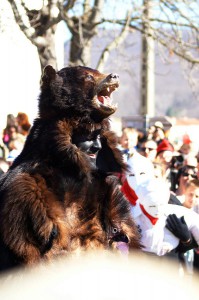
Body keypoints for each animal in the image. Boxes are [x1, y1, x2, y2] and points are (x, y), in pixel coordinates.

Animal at [0, 65, 140, 272]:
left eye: (98, 135)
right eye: (88, 76)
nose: (114, 75)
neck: (69, 167)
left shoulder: (111, 194)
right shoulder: (24, 196)